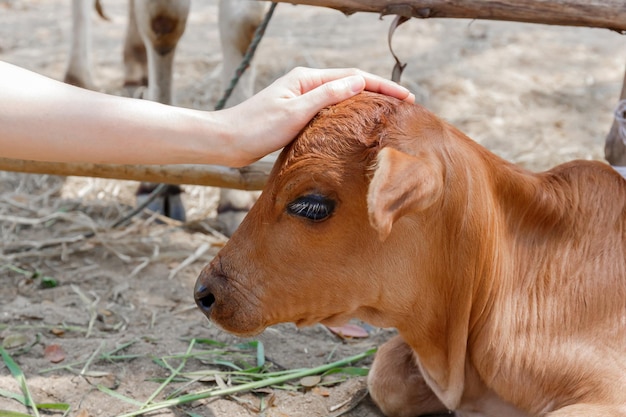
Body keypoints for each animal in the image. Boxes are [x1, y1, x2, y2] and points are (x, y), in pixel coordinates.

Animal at [63, 0, 266, 234]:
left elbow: (245, 25)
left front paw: (236, 200)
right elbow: (163, 19)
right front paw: (159, 186)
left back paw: (136, 67)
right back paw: (78, 77)